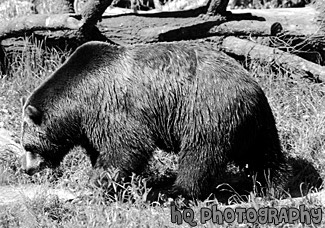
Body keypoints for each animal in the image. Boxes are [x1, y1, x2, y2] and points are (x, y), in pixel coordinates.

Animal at [20, 40, 288, 200]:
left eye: (28, 146)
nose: (28, 169)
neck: (78, 103)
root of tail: (251, 87)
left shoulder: (113, 107)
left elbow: (127, 147)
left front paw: (99, 183)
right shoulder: (91, 124)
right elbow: (101, 149)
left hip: (207, 111)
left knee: (199, 156)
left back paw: (176, 191)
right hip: (254, 122)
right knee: (264, 153)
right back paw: (272, 183)